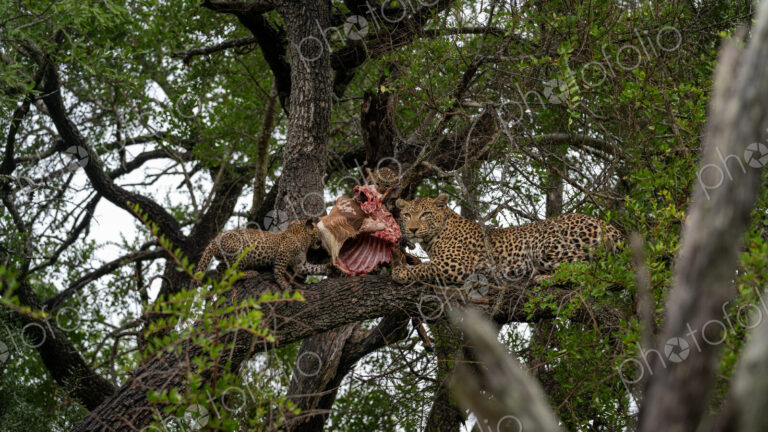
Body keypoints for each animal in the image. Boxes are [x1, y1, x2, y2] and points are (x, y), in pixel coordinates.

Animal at [194, 219, 329, 291]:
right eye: (319, 231)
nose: (322, 240)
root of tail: (213, 240)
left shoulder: (299, 264)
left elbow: (314, 268)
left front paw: (328, 269)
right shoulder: (283, 254)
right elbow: (279, 271)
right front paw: (284, 285)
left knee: (220, 267)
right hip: (241, 252)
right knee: (232, 270)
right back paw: (251, 273)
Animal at [391, 194, 622, 286]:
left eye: (425, 214)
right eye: (407, 215)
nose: (412, 229)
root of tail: (606, 224)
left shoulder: (455, 265)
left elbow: (425, 268)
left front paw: (401, 272)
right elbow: (423, 264)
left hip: (544, 246)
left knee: (588, 270)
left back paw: (543, 278)